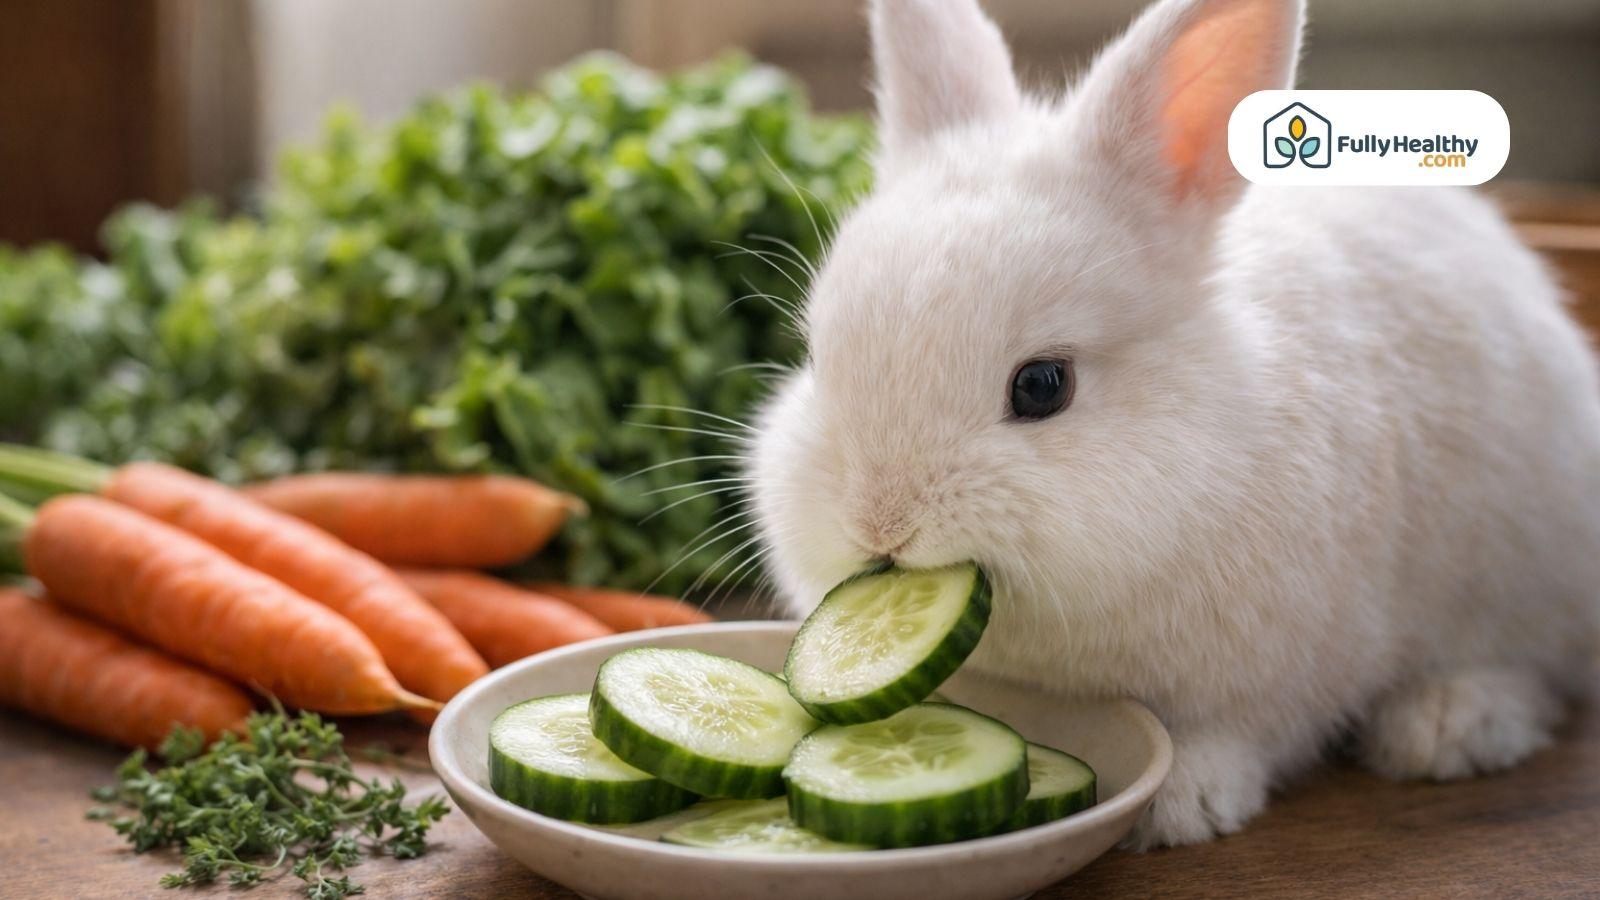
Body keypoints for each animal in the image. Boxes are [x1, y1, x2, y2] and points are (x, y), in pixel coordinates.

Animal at [746, 0, 1600, 848]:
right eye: (817, 356)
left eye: (1043, 386)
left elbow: (1235, 733)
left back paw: (1448, 726)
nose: (880, 525)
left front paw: (1181, 803)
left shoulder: (1287, 672)